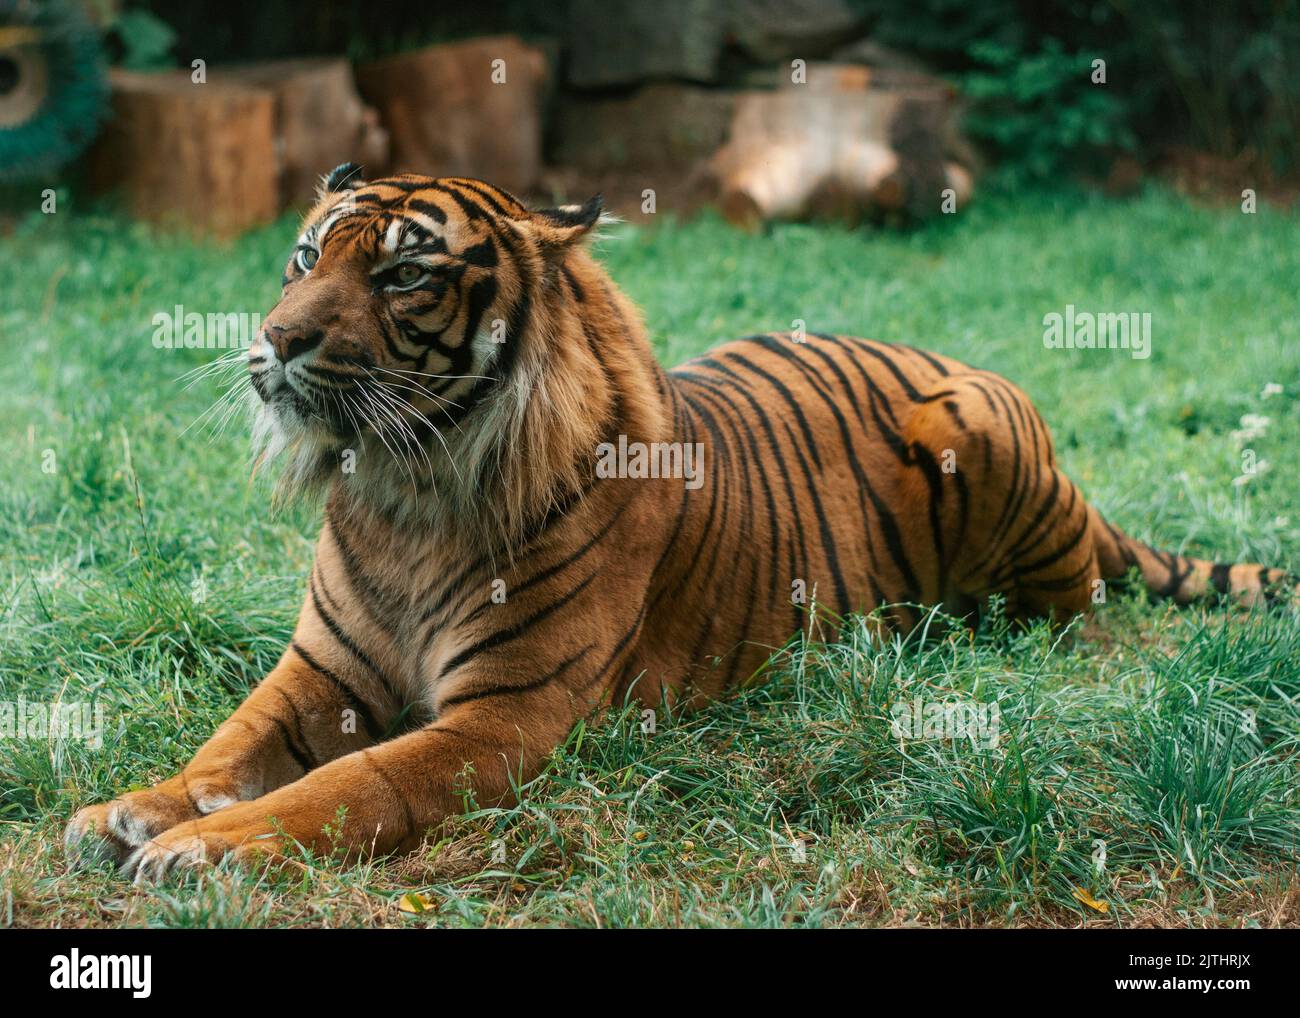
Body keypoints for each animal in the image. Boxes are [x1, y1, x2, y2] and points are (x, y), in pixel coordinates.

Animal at [68, 163, 1289, 878]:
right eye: (306, 256)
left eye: (406, 274)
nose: (274, 339)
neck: (405, 490)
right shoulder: (318, 672)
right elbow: (229, 741)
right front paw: (130, 810)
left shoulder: (503, 717)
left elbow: (347, 785)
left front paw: (205, 847)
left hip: (984, 435)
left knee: (1073, 612)